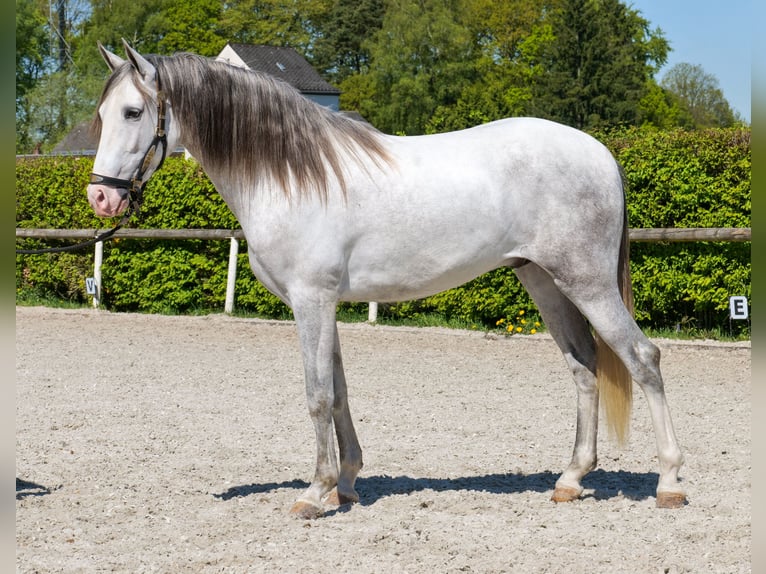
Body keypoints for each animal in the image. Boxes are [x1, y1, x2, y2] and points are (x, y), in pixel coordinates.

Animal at [86, 40, 686, 518]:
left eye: (134, 111)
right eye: (101, 113)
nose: (101, 197)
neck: (291, 175)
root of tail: (600, 152)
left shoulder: (311, 300)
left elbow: (317, 394)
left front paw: (315, 493)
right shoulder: (326, 303)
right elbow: (340, 392)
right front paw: (347, 483)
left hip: (587, 282)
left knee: (643, 358)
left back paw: (669, 482)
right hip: (543, 281)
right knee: (583, 367)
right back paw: (571, 479)